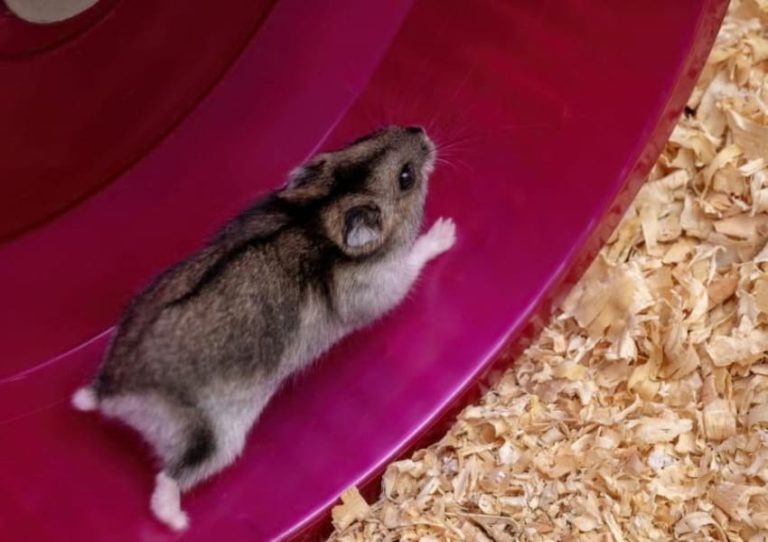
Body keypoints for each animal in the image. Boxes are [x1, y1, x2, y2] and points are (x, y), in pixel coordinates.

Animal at [71, 125, 456, 531]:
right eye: (406, 176)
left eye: (366, 136)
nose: (421, 131)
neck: (318, 214)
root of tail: (115, 391)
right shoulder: (384, 285)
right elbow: (413, 259)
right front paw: (447, 229)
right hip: (216, 439)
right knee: (168, 480)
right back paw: (178, 522)